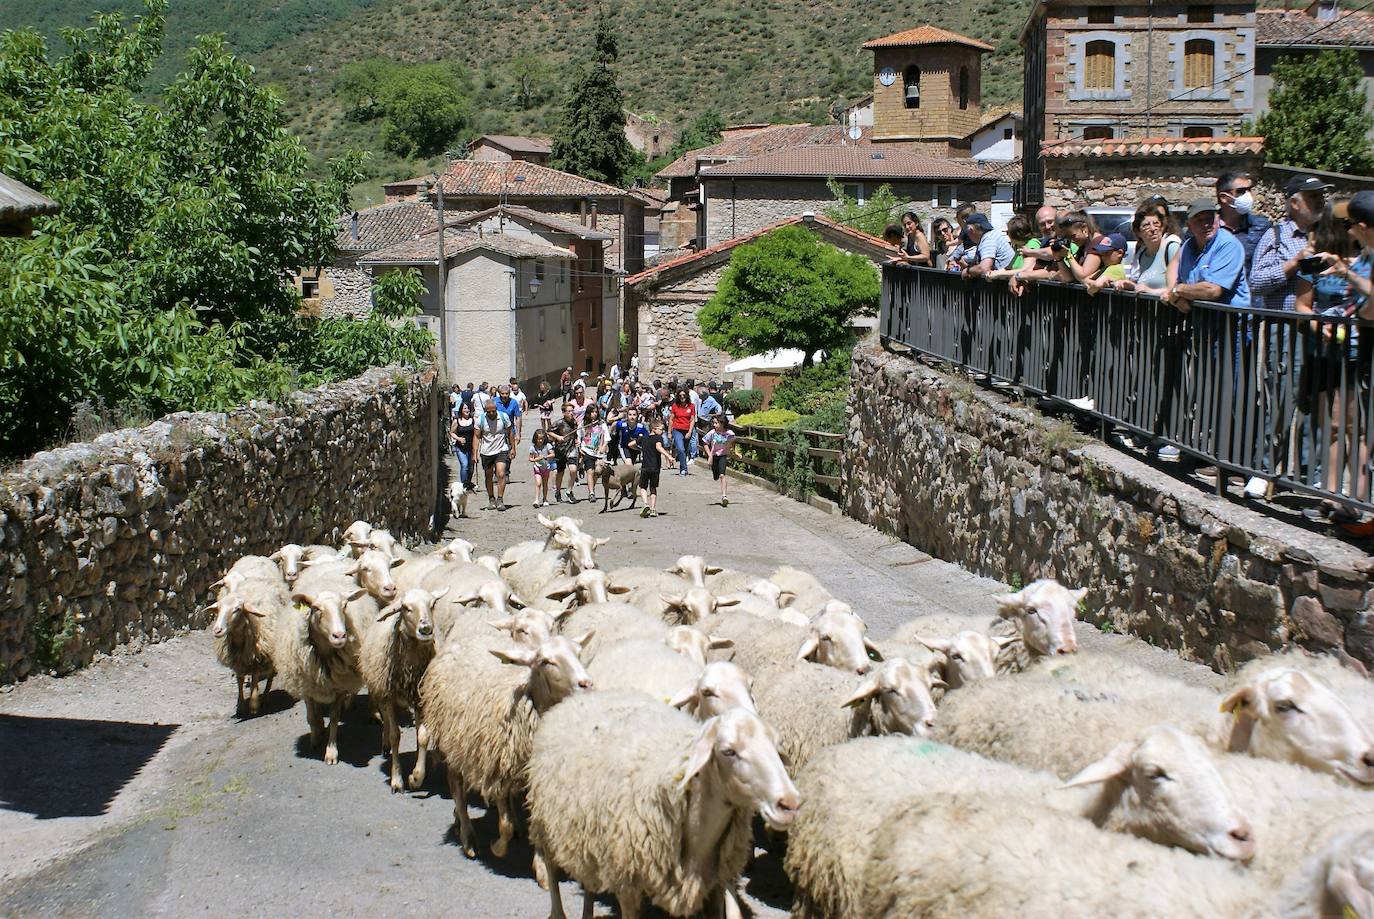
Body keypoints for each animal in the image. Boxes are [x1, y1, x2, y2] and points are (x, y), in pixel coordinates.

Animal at [274, 585, 376, 763]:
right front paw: (315, 739)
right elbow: (311, 716)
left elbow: (334, 718)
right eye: (315, 608)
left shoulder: (340, 686)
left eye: (345, 605)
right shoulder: (307, 686)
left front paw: (331, 752)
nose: (340, 636)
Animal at [357, 587, 447, 796]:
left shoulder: (422, 698)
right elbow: (395, 735)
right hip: (380, 690)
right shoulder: (387, 696)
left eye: (432, 604)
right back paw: (385, 743)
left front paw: (416, 777)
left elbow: (423, 737)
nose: (425, 629)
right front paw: (397, 780)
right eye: (406, 608)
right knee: (387, 722)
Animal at [417, 626, 590, 857]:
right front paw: (497, 847)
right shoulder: (496, 765)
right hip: (454, 741)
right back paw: (467, 836)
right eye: (545, 661)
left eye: (579, 653)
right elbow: (504, 825)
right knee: (456, 787)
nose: (587, 683)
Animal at [527, 686, 802, 917]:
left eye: (776, 747)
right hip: (545, 823)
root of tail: (577, 699)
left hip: (583, 832)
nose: (790, 804)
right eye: (728, 751)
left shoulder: (713, 885)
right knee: (552, 869)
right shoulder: (627, 881)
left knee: (588, 879)